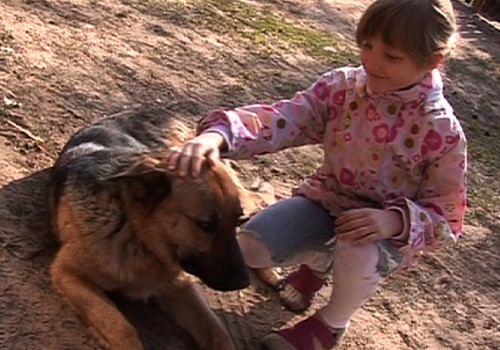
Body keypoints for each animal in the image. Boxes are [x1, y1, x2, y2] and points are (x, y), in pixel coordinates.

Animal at [47, 109, 250, 350]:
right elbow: (121, 327)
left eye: (238, 222)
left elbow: (219, 333)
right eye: (206, 225)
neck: (134, 233)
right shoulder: (67, 273)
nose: (244, 282)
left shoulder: (180, 285)